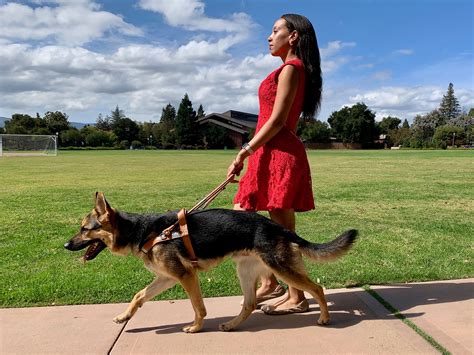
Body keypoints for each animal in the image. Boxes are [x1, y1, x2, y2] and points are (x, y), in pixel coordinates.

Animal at [65, 193, 358, 332]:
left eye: (84, 229)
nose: (65, 246)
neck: (142, 231)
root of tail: (276, 226)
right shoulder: (166, 278)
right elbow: (139, 296)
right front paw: (124, 316)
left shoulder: (185, 277)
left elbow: (198, 306)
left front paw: (195, 328)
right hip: (246, 272)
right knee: (250, 303)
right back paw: (232, 325)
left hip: (281, 268)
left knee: (317, 288)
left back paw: (324, 318)